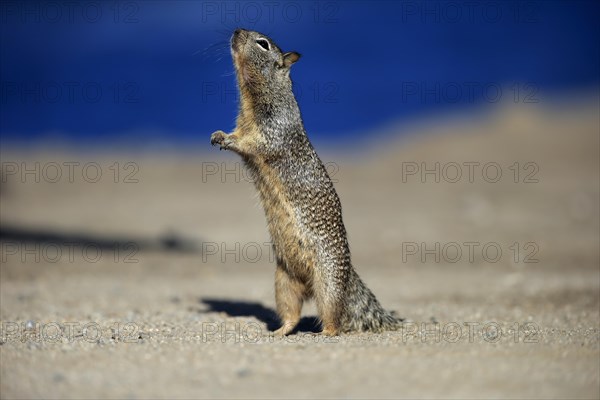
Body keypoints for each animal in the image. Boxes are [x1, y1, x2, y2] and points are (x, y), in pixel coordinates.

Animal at [211, 28, 404, 336]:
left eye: (263, 44)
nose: (237, 30)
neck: (255, 97)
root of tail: (349, 277)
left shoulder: (271, 130)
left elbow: (253, 143)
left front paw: (228, 141)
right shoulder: (244, 124)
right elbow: (237, 135)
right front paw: (218, 135)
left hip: (328, 283)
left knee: (333, 316)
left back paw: (324, 333)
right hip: (284, 282)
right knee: (292, 312)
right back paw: (279, 331)